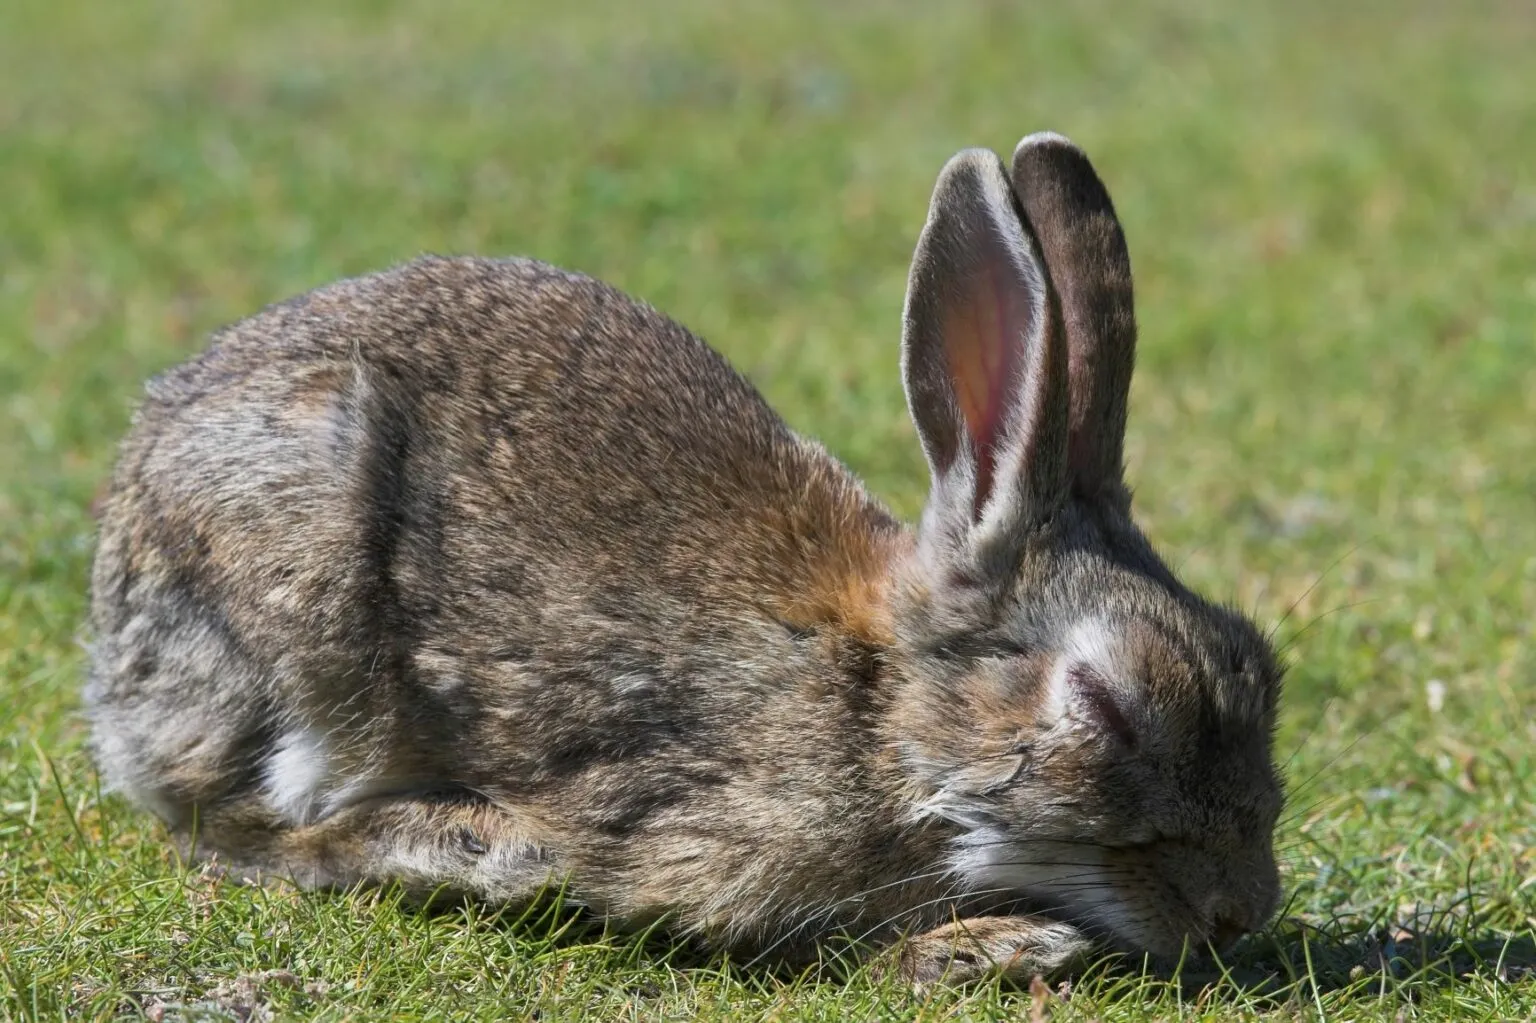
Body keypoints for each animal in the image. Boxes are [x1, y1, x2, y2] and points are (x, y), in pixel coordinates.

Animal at [84, 131, 1284, 983]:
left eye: (1262, 667)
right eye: (1111, 707)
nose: (1242, 911)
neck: (876, 705)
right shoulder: (693, 833)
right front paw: (991, 947)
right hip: (305, 589)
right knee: (239, 827)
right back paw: (473, 846)